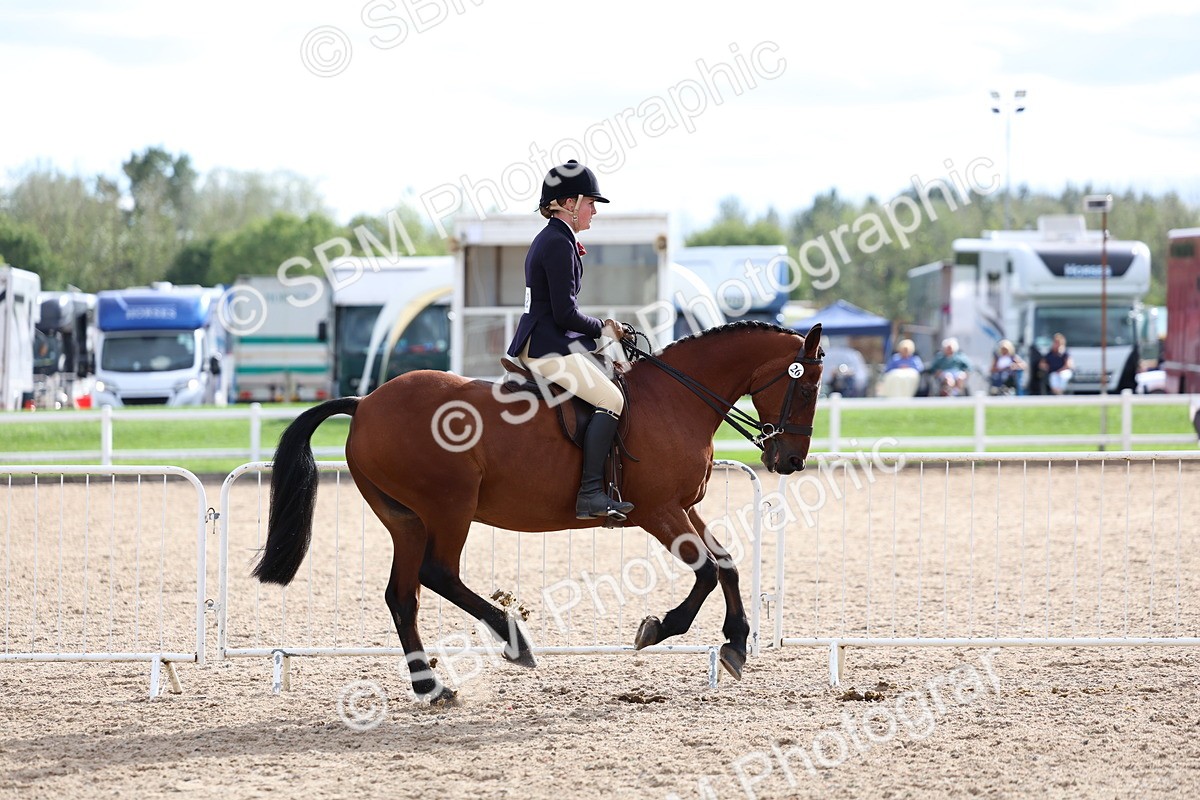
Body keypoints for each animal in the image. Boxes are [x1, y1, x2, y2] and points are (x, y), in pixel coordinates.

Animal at [252, 320, 824, 703]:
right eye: (807, 386)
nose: (789, 461)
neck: (675, 400)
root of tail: (365, 403)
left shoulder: (683, 507)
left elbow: (725, 563)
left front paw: (737, 643)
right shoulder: (659, 511)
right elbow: (705, 570)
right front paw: (661, 628)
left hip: (406, 520)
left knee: (402, 596)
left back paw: (431, 686)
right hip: (449, 507)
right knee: (438, 574)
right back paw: (513, 642)